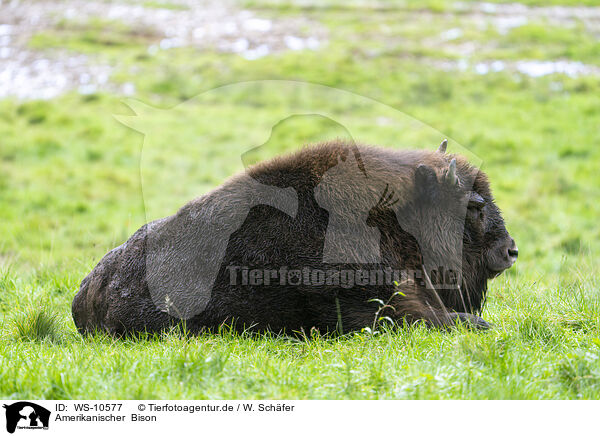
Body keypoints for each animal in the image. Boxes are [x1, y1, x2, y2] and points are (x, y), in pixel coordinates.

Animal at [72, 138, 516, 336]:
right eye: (474, 205)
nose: (510, 251)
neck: (392, 217)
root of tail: (89, 290)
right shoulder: (387, 309)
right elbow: (457, 320)